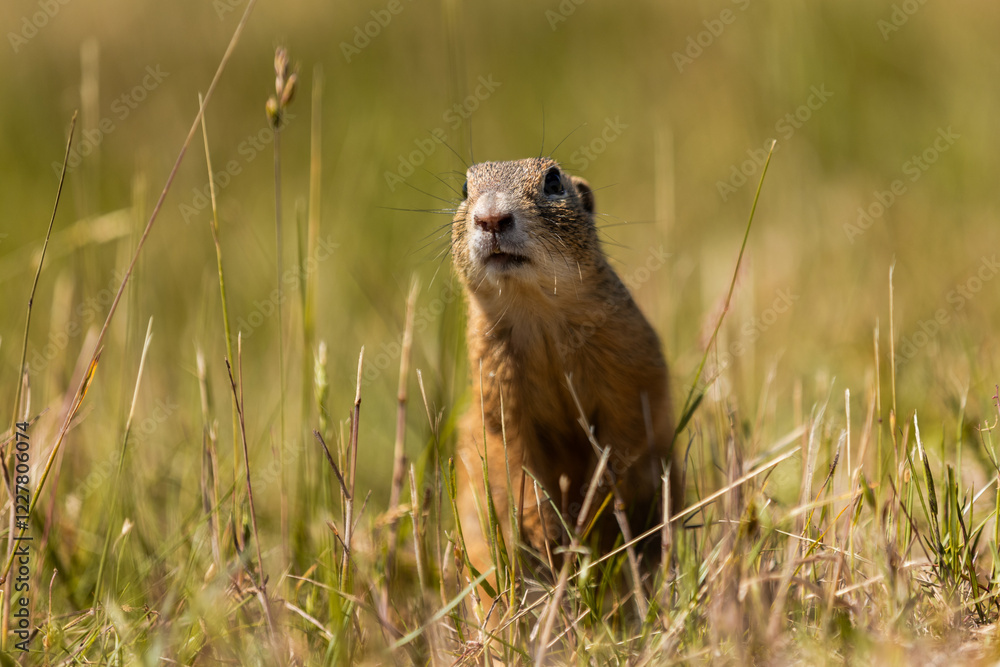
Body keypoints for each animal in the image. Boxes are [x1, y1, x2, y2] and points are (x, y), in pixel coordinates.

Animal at [451, 157, 683, 576]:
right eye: (464, 188)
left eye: (554, 181)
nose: (491, 218)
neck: (535, 310)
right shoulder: (495, 388)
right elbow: (511, 454)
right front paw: (541, 527)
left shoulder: (629, 369)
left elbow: (623, 440)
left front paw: (591, 515)